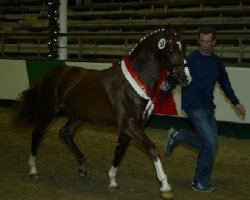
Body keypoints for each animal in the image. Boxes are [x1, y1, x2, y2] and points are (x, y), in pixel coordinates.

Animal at [14, 28, 191, 200]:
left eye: (184, 48)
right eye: (171, 48)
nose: (186, 78)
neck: (131, 86)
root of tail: (49, 75)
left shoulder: (128, 129)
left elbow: (119, 152)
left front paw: (112, 181)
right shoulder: (130, 125)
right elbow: (152, 149)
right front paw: (165, 186)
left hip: (77, 117)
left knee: (65, 133)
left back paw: (82, 167)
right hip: (48, 112)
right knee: (37, 134)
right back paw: (33, 170)